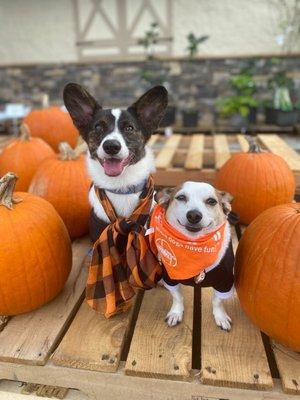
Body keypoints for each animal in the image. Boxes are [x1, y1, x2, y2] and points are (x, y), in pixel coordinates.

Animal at [150, 182, 234, 332]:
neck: (193, 245)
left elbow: (218, 301)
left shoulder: (225, 281)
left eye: (211, 201)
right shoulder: (171, 278)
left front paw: (221, 316)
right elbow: (177, 297)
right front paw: (176, 312)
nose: (194, 215)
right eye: (181, 197)